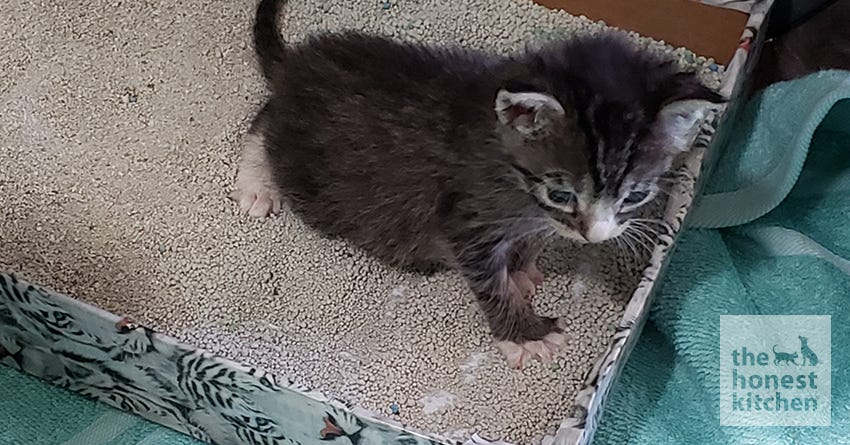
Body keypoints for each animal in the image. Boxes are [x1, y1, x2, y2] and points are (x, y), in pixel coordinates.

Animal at [234, 0, 724, 368]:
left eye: (636, 195)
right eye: (561, 193)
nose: (596, 235)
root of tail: (296, 66)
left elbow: (531, 243)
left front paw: (522, 269)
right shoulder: (464, 218)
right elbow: (489, 281)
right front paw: (525, 333)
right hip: (303, 167)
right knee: (264, 120)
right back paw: (257, 182)